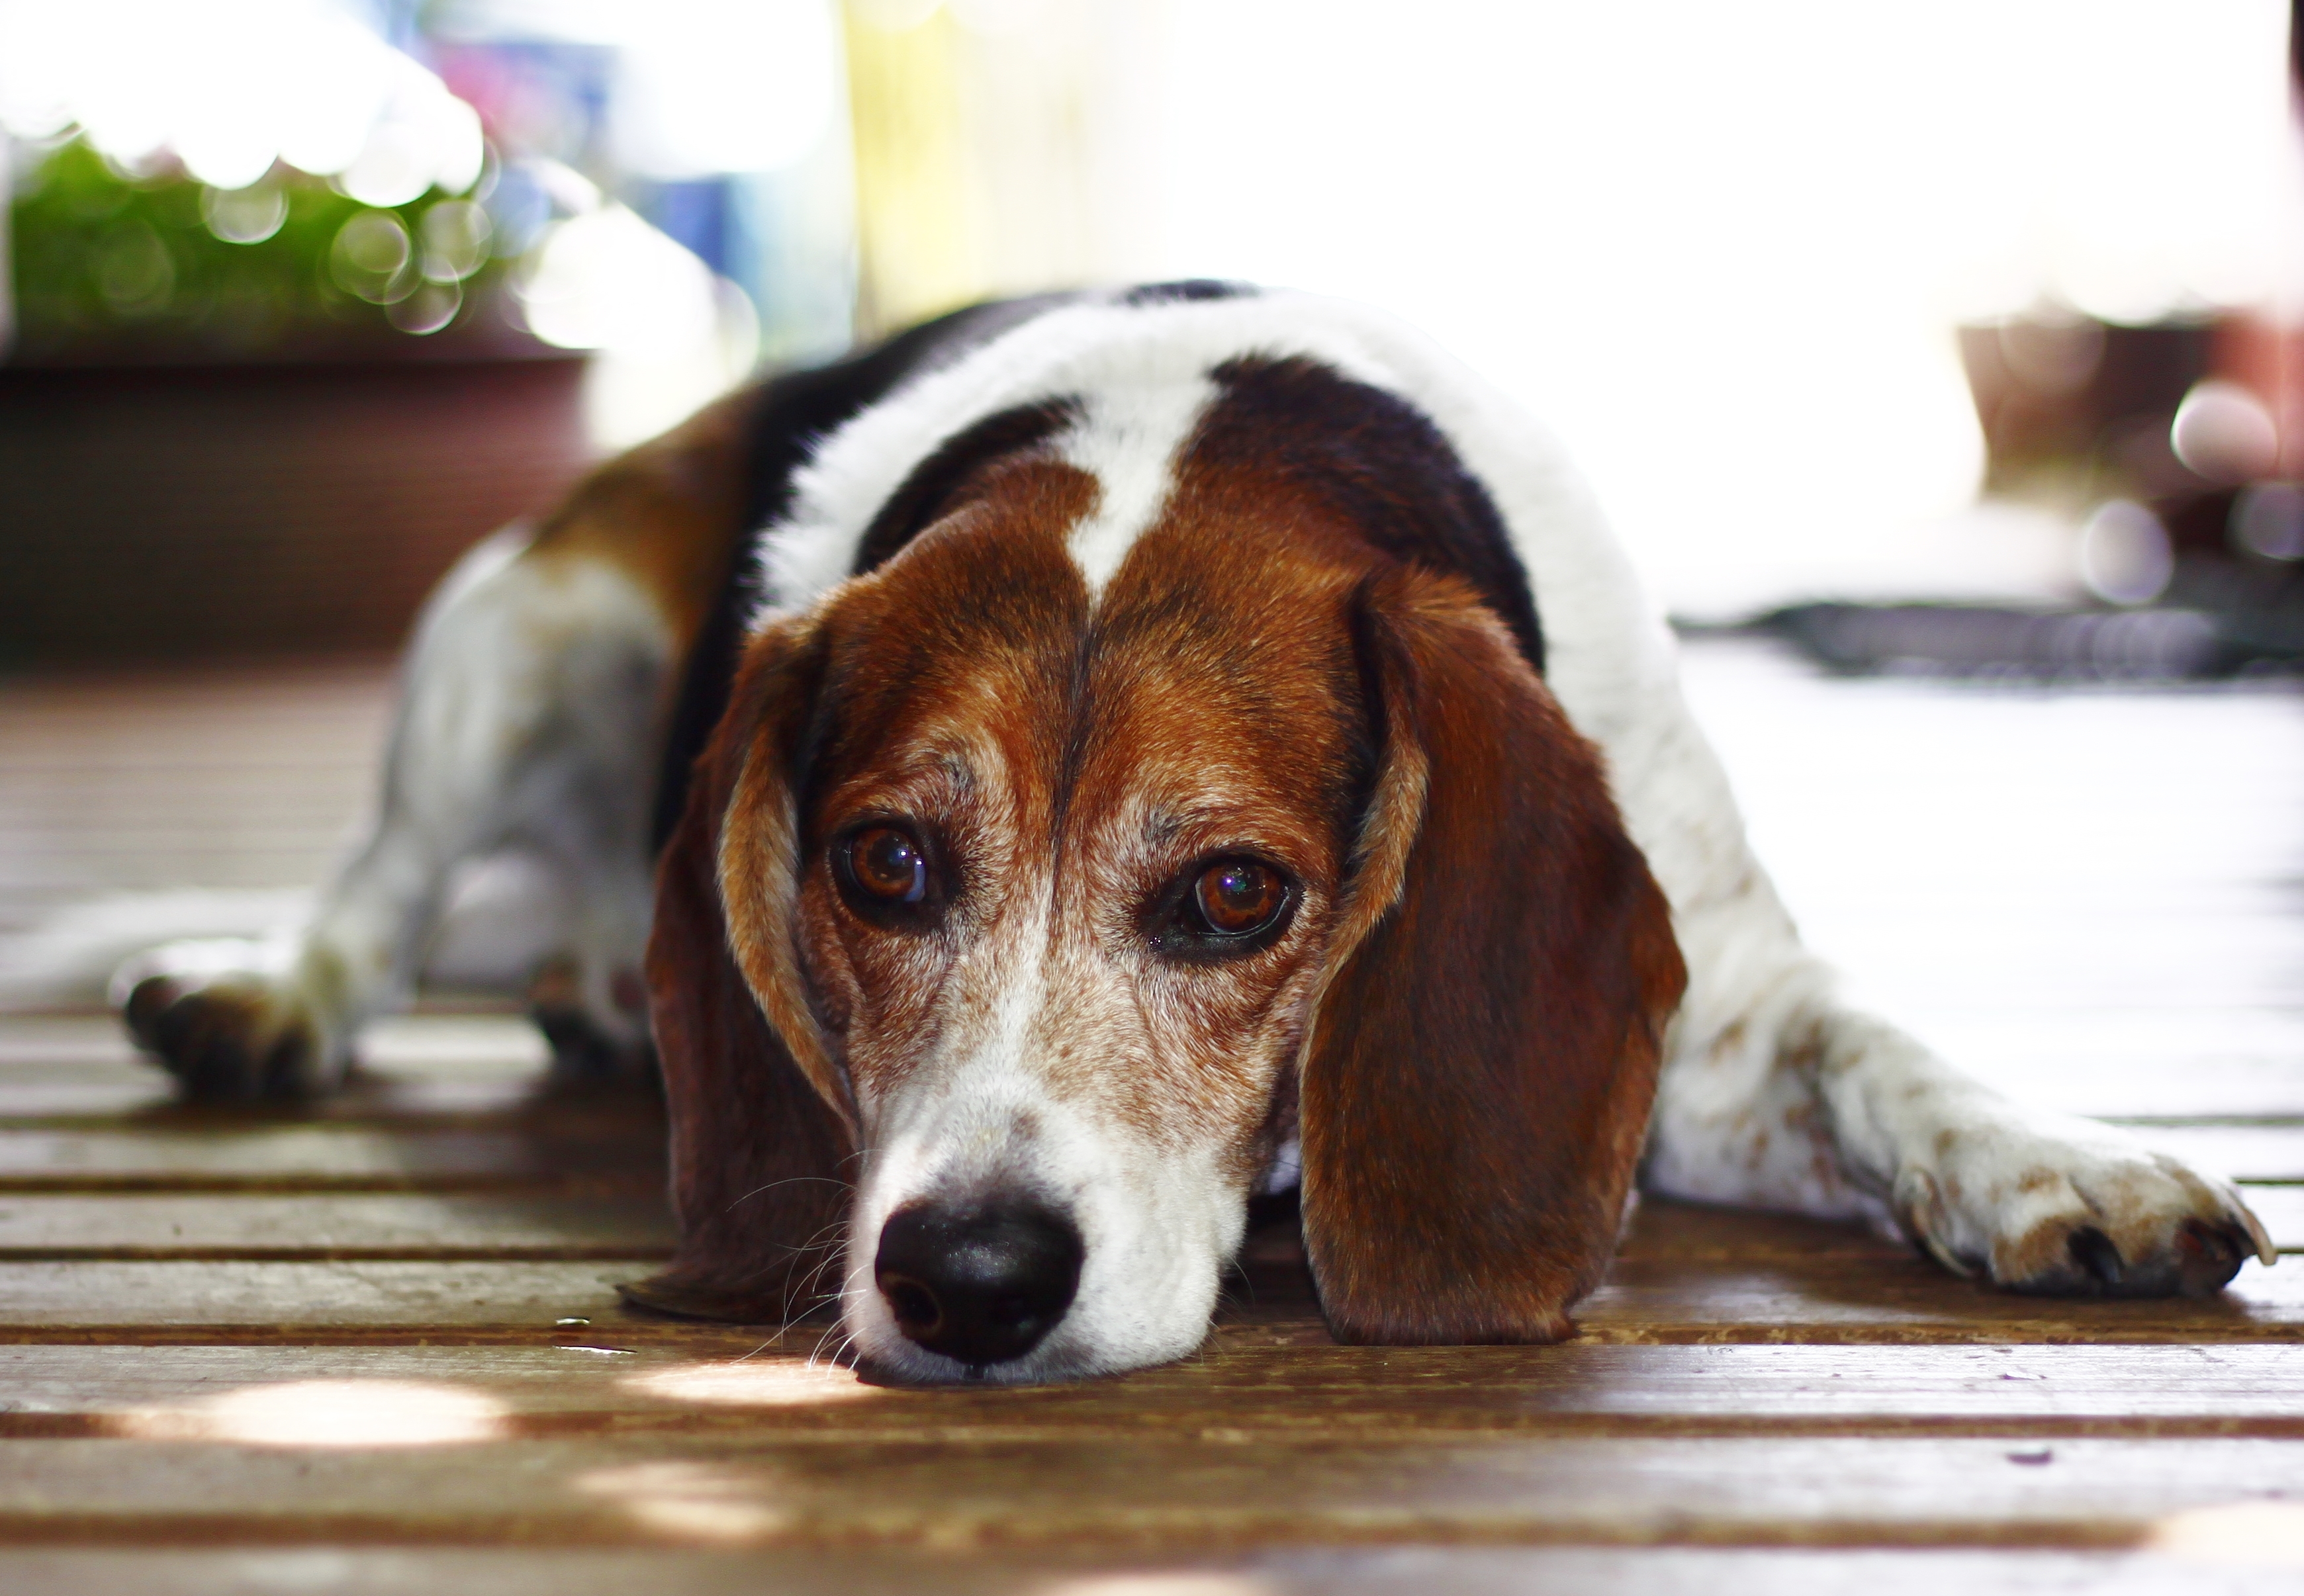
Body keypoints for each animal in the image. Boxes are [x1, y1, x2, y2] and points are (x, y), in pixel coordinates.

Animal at [116, 287, 2276, 1382]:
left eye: (1235, 892)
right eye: (883, 864)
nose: (970, 1281)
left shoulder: (1721, 1022)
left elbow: (1872, 1049)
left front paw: (2051, 1164)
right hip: (520, 616)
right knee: (380, 889)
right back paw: (271, 994)